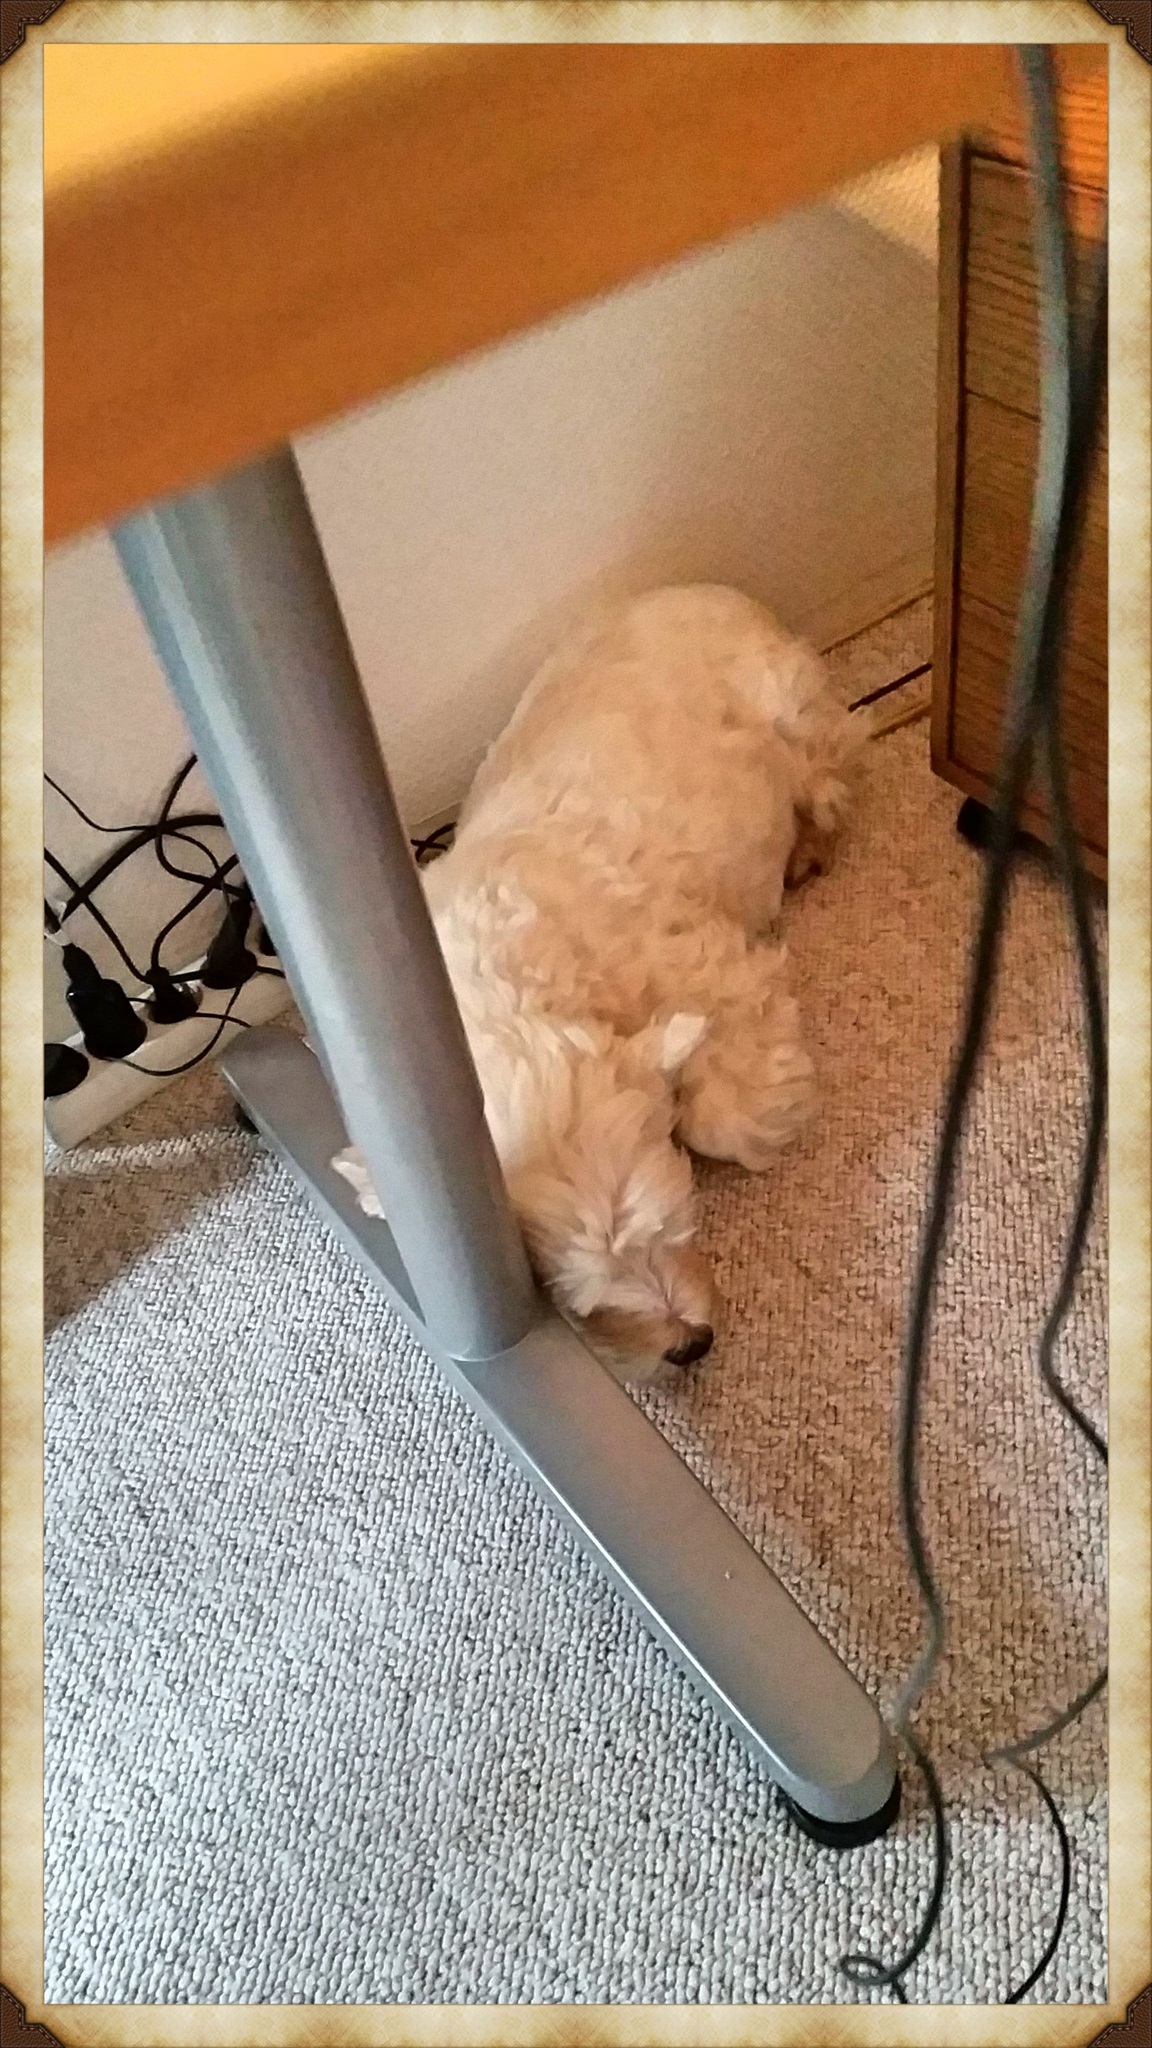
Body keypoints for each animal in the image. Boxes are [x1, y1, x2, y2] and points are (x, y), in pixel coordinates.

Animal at [334, 586, 861, 1381]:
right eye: (578, 1298)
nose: (691, 1345)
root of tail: (706, 588)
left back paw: (809, 849)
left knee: (830, 784)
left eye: (675, 1225)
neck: (508, 991)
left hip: (802, 723)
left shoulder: (715, 970)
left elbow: (720, 1112)